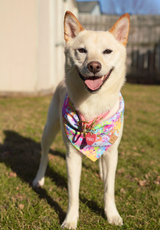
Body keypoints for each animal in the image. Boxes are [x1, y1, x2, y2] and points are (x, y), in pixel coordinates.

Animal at [32, 11, 130, 230]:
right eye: (82, 50)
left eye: (107, 51)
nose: (94, 66)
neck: (93, 103)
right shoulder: (72, 157)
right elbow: (73, 194)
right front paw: (70, 220)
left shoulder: (112, 152)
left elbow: (109, 189)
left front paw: (112, 214)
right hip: (49, 129)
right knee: (44, 156)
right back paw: (39, 179)